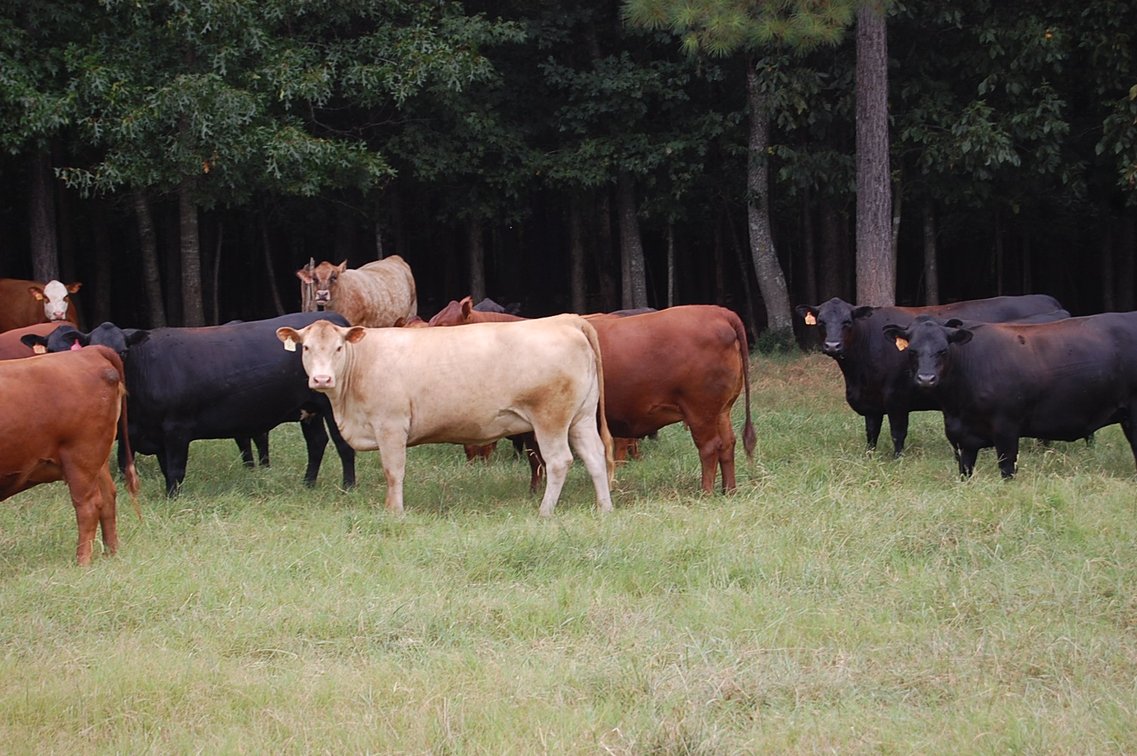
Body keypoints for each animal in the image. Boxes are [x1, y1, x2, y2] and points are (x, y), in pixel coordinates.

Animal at [0, 346, 139, 565]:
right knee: (108, 497)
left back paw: (82, 561)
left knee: (89, 505)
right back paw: (111, 552)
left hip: (81, 458)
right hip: (97, 461)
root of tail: (91, 350)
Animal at [25, 314, 357, 496]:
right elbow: (160, 469)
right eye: (92, 349)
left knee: (343, 445)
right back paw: (308, 484)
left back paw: (347, 487)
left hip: (333, 407)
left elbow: (175, 469)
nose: (109, 374)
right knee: (316, 443)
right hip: (309, 410)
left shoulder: (176, 429)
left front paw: (173, 499)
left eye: (123, 351)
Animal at [275, 316, 615, 516]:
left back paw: (545, 511)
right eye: (306, 347)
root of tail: (564, 319)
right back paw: (604, 508)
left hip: (550, 418)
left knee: (559, 461)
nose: (322, 379)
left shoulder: (390, 425)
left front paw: (394, 512)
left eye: (338, 348)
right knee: (595, 456)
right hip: (582, 417)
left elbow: (393, 471)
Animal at [794, 294, 1067, 456]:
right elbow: (871, 433)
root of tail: (1051, 303)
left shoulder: (897, 398)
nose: (832, 346)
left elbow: (897, 432)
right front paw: (869, 457)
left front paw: (897, 459)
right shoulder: (871, 402)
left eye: (847, 322)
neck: (857, 375)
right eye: (821, 321)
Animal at [882, 313, 1137, 479]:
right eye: (912, 351)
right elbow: (965, 474)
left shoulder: (1006, 430)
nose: (926, 378)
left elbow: (1007, 472)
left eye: (943, 350)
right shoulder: (963, 439)